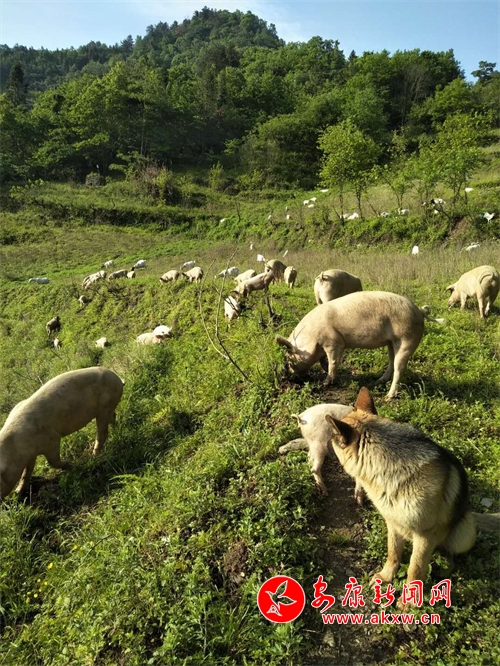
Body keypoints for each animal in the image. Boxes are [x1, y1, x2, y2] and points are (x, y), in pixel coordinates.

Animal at [0, 367, 124, 499]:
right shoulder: (30, 454)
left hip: (104, 408)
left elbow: (53, 462)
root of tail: (116, 378)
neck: (16, 449)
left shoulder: (52, 439)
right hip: (108, 409)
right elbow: (26, 472)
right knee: (113, 417)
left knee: (102, 433)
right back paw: (116, 429)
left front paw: (73, 466)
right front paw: (18, 492)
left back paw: (93, 456)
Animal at [276, 291, 444, 399]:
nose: (288, 374)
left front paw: (325, 383)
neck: (311, 336)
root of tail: (420, 311)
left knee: (399, 368)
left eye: (289, 357)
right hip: (392, 342)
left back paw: (388, 397)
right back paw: (377, 381)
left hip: (407, 339)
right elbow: (325, 362)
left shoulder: (333, 342)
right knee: (391, 362)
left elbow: (332, 362)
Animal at [324, 387, 499, 603]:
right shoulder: (392, 523)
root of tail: (469, 512)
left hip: (463, 535)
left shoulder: (424, 536)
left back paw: (444, 564)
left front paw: (409, 601)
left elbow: (414, 570)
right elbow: (393, 553)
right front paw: (386, 577)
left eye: (332, 438)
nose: (323, 443)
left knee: (448, 551)